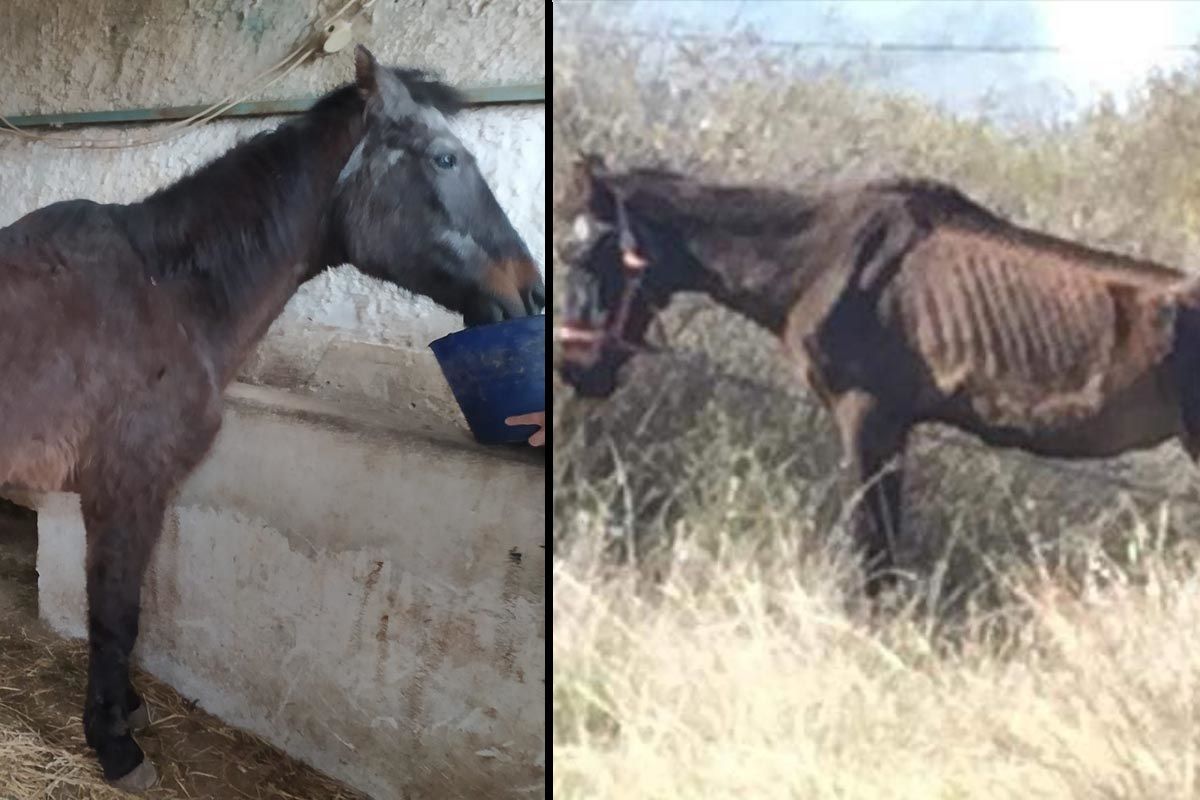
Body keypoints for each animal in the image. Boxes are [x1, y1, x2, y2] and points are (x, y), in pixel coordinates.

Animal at [0, 47, 544, 791]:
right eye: (445, 160)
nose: (531, 291)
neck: (164, 291)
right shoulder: (125, 487)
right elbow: (117, 614)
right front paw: (115, 745)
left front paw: (126, 712)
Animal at [556, 154, 1200, 594]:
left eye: (593, 254)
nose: (573, 365)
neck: (824, 257)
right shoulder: (891, 428)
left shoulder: (868, 416)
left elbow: (872, 547)